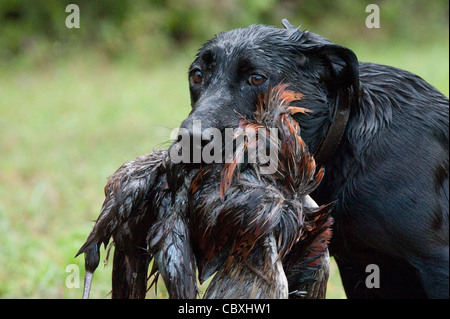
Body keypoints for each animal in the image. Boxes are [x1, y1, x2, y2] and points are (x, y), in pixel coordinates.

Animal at [178, 20, 448, 300]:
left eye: (257, 78)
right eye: (197, 75)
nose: (191, 139)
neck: (346, 137)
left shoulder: (436, 261)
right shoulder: (358, 269)